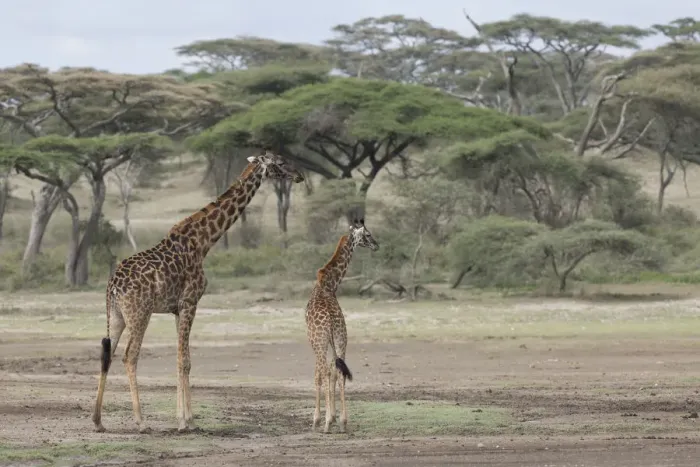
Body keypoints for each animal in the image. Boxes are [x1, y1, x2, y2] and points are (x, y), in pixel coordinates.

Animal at [91, 151, 304, 434]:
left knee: (107, 354)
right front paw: (185, 422)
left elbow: (181, 359)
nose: (300, 175)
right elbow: (185, 361)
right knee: (129, 356)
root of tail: (113, 285)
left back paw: (98, 421)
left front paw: (185, 419)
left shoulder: (176, 308)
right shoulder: (190, 301)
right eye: (279, 162)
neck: (204, 241)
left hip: (115, 315)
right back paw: (141, 422)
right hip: (140, 314)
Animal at [305, 218, 379, 433]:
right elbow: (334, 372)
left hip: (320, 341)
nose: (377, 245)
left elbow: (319, 375)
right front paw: (334, 418)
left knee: (323, 371)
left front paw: (319, 420)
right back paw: (343, 422)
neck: (328, 286)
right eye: (368, 234)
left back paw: (326, 423)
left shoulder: (314, 341)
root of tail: (329, 318)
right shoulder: (335, 340)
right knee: (339, 372)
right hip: (341, 338)